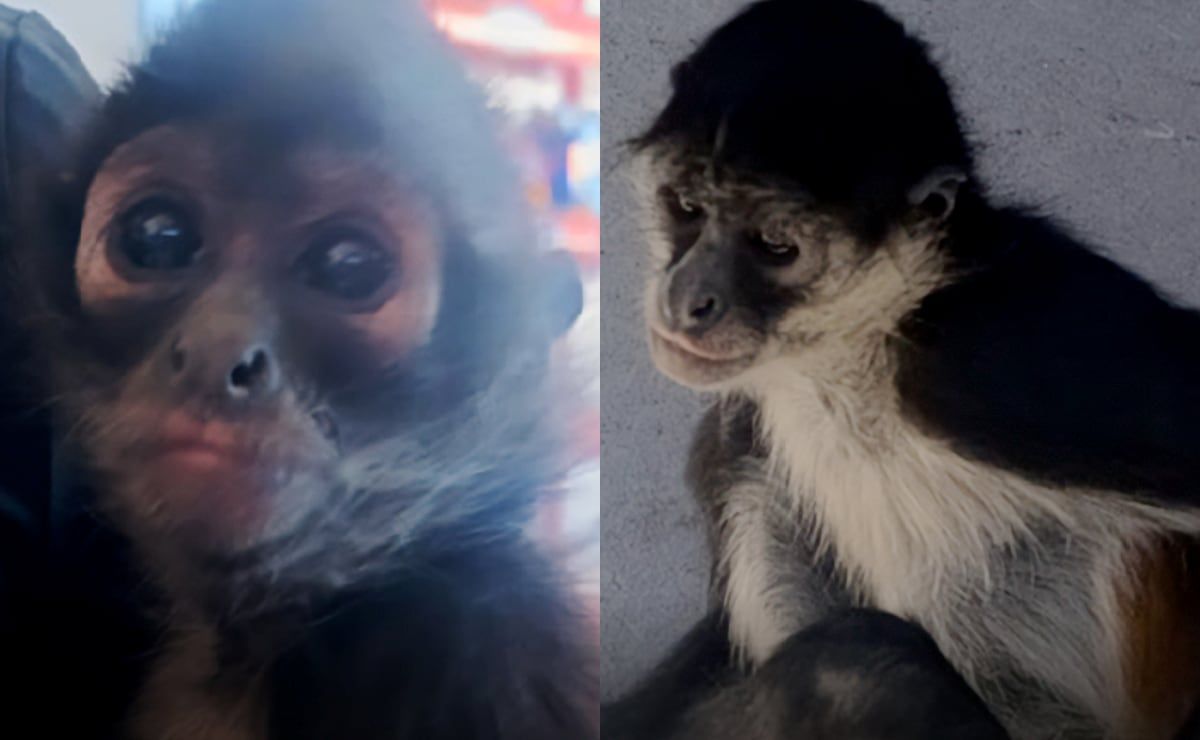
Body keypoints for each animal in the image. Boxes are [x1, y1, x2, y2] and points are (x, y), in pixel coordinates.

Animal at [605, 0, 1200, 738]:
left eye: (775, 245)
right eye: (686, 207)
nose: (688, 299)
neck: (858, 361)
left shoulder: (990, 356)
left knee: (859, 663)